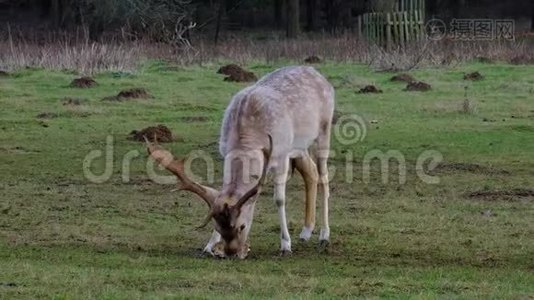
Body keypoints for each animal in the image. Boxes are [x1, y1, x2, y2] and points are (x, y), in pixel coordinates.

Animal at [147, 65, 336, 258]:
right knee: (310, 171)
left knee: (324, 177)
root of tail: (319, 75)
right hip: (299, 146)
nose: (232, 253)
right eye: (218, 227)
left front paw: (285, 245)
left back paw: (324, 236)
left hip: (324, 130)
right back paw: (306, 232)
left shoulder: (282, 155)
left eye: (242, 226)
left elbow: (279, 199)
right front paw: (208, 246)